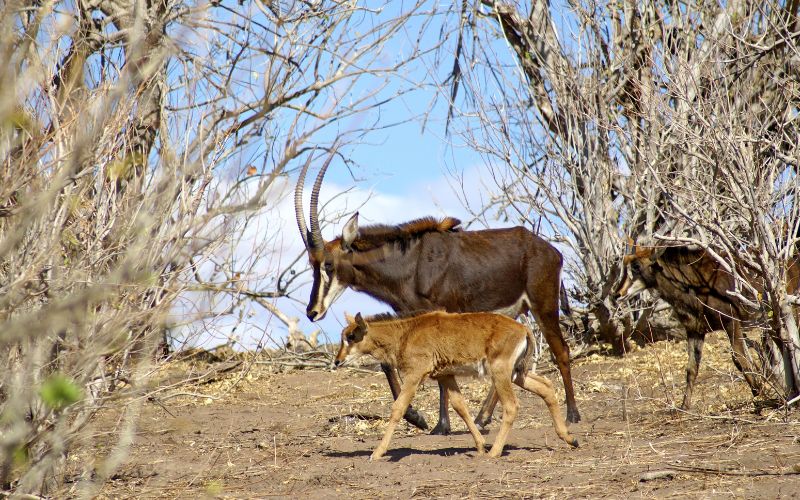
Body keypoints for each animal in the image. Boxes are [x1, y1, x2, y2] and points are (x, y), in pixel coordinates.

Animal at [295, 153, 580, 434]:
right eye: (312, 263)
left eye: (328, 264)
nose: (312, 312)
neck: (409, 263)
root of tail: (552, 251)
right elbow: (387, 362)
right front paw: (418, 417)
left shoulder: (435, 315)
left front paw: (440, 425)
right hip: (516, 312)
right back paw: (482, 418)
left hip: (543, 305)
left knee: (561, 350)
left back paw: (572, 415)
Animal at [334, 311, 578, 459]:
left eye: (352, 336)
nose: (337, 360)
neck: (405, 332)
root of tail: (524, 329)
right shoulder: (446, 377)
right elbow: (460, 407)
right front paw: (480, 445)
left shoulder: (415, 375)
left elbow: (398, 408)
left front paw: (377, 453)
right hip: (518, 373)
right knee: (546, 387)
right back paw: (569, 438)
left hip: (500, 373)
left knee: (511, 406)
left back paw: (495, 452)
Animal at [617, 244, 800, 409]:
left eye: (636, 266)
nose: (618, 293)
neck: (690, 285)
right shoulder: (695, 330)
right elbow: (691, 368)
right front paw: (684, 406)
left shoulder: (731, 322)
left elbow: (738, 357)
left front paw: (759, 392)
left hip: (788, 312)